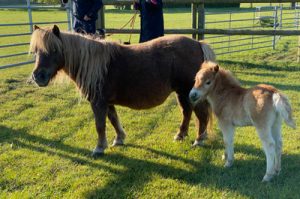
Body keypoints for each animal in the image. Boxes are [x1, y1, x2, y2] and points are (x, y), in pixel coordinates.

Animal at [29, 24, 216, 156]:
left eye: (54, 49)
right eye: (36, 51)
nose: (38, 77)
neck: (95, 64)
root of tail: (198, 43)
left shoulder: (98, 103)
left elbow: (100, 125)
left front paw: (99, 148)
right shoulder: (107, 103)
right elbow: (113, 119)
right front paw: (119, 139)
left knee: (201, 114)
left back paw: (199, 140)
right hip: (182, 92)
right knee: (187, 112)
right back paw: (181, 135)